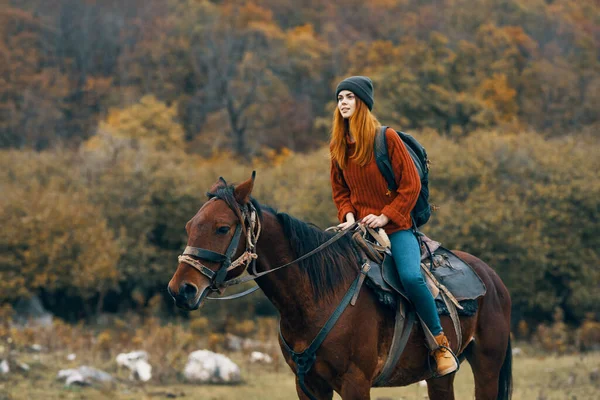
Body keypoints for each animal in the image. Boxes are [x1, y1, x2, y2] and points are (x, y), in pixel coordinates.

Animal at [168, 175, 510, 400]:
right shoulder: (308, 386)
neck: (317, 299)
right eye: (189, 226)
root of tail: (492, 280)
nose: (181, 289)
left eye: (222, 228)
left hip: (487, 367)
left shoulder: (355, 383)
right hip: (440, 379)